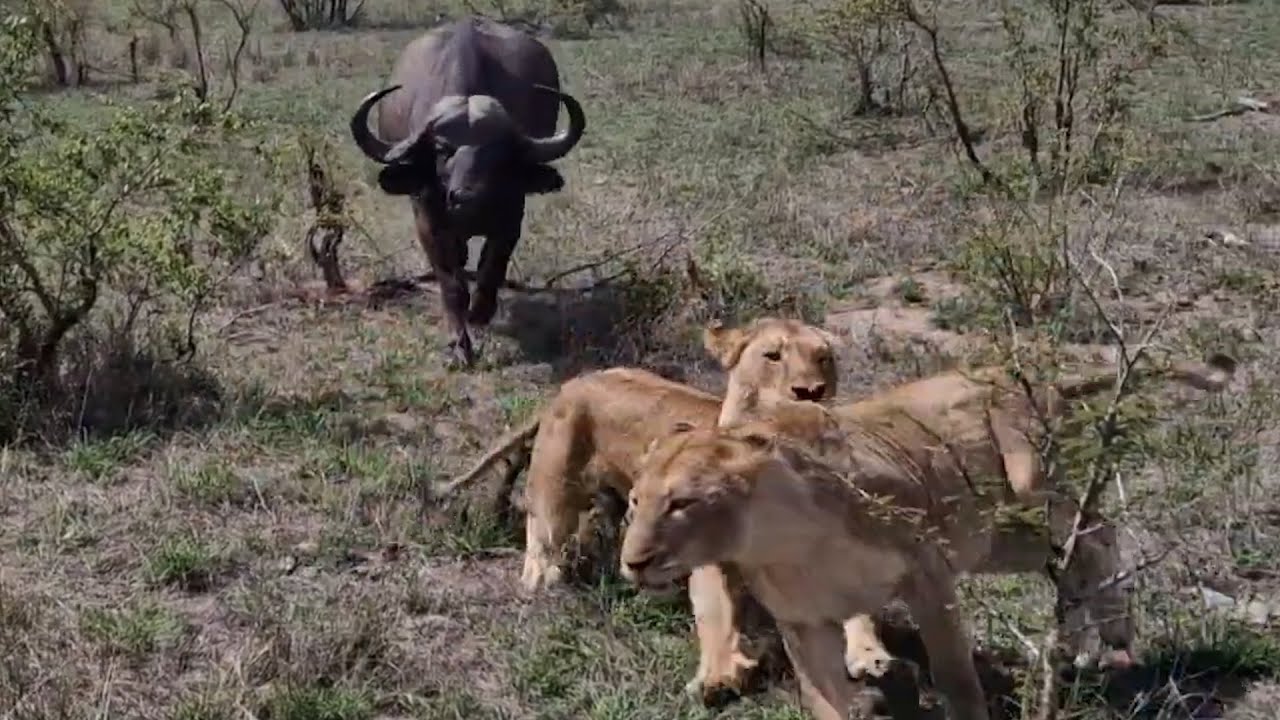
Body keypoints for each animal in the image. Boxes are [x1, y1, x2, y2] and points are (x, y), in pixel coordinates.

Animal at [350, 17, 587, 367]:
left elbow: (490, 270)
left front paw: (479, 315)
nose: (468, 199)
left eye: (499, 152)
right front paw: (459, 344)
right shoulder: (428, 222)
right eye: (441, 149)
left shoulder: (510, 219)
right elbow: (452, 285)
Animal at [432, 317, 842, 593]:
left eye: (823, 358)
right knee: (542, 535)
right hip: (555, 484)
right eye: (773, 355)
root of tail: (573, 382)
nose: (811, 391)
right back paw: (546, 584)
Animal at [620, 420, 999, 720]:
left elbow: (955, 674)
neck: (784, 539)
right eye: (636, 501)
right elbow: (826, 699)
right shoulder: (802, 623)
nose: (632, 562)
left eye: (682, 503)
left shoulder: (926, 571)